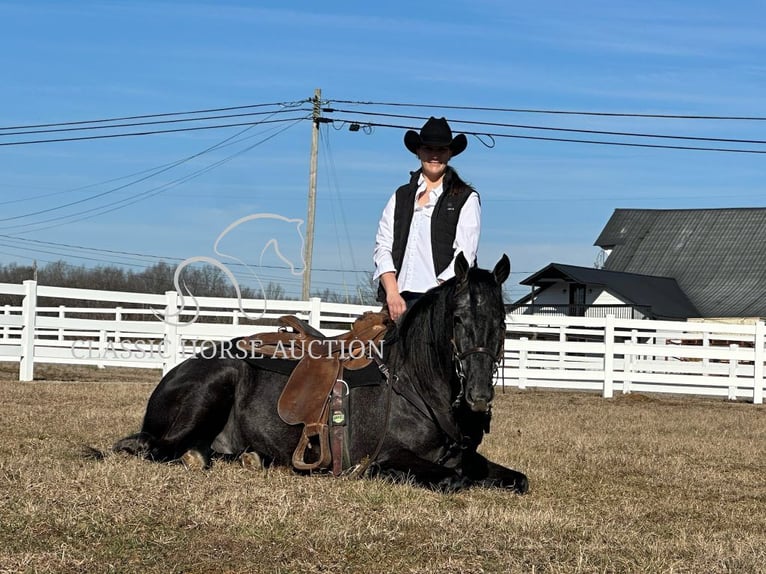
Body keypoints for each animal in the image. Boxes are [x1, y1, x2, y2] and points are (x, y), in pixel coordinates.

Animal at [114, 256, 532, 496]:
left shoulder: (466, 457)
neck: (412, 384)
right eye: (458, 319)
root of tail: (177, 371)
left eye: (502, 321)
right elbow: (452, 480)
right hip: (210, 391)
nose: (479, 395)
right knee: (153, 448)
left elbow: (519, 479)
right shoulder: (389, 457)